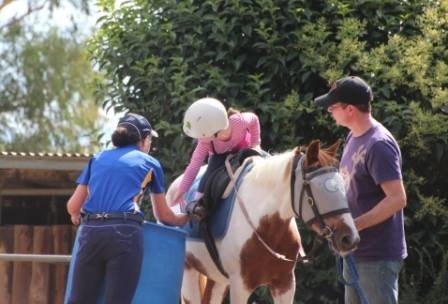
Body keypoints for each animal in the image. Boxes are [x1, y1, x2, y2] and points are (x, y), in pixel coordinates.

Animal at [166, 141, 358, 304]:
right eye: (317, 190)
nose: (350, 239)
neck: (266, 225)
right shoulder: (240, 286)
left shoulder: (285, 284)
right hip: (188, 272)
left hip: (217, 280)